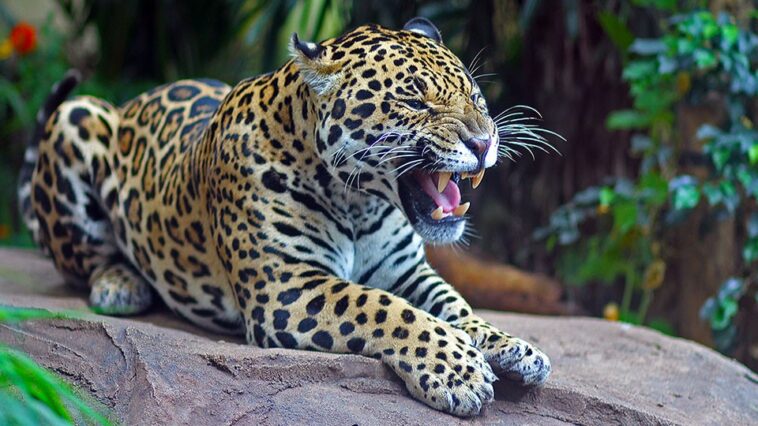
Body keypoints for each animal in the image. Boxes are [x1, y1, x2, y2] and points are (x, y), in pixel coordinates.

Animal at [18, 18, 551, 417]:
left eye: (476, 97)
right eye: (414, 100)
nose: (484, 143)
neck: (360, 204)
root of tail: (131, 103)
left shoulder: (407, 271)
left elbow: (454, 306)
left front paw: (510, 345)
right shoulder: (284, 284)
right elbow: (384, 308)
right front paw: (458, 370)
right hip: (76, 115)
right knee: (83, 259)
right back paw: (119, 284)